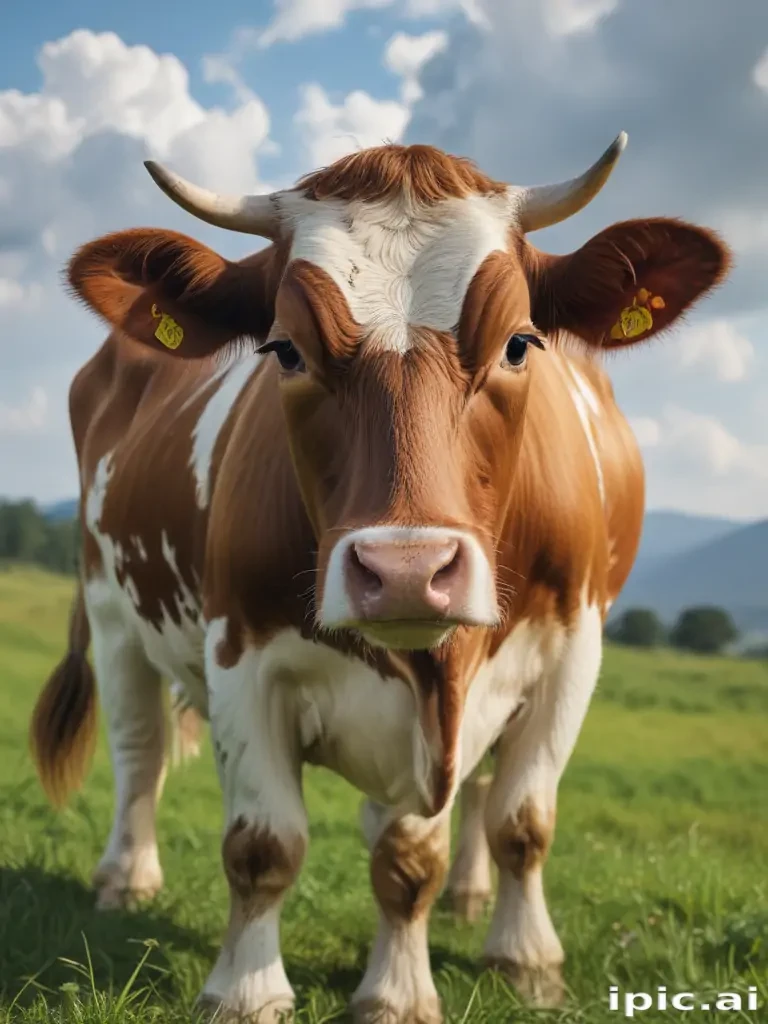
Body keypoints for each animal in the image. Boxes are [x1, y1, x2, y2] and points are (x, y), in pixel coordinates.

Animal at [30, 136, 730, 1023]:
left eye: (520, 344)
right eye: (285, 349)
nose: (405, 571)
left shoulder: (570, 648)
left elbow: (502, 828)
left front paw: (494, 965)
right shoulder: (240, 653)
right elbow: (263, 844)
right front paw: (247, 989)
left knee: (472, 796)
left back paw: (470, 897)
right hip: (111, 607)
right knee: (138, 749)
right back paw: (126, 877)